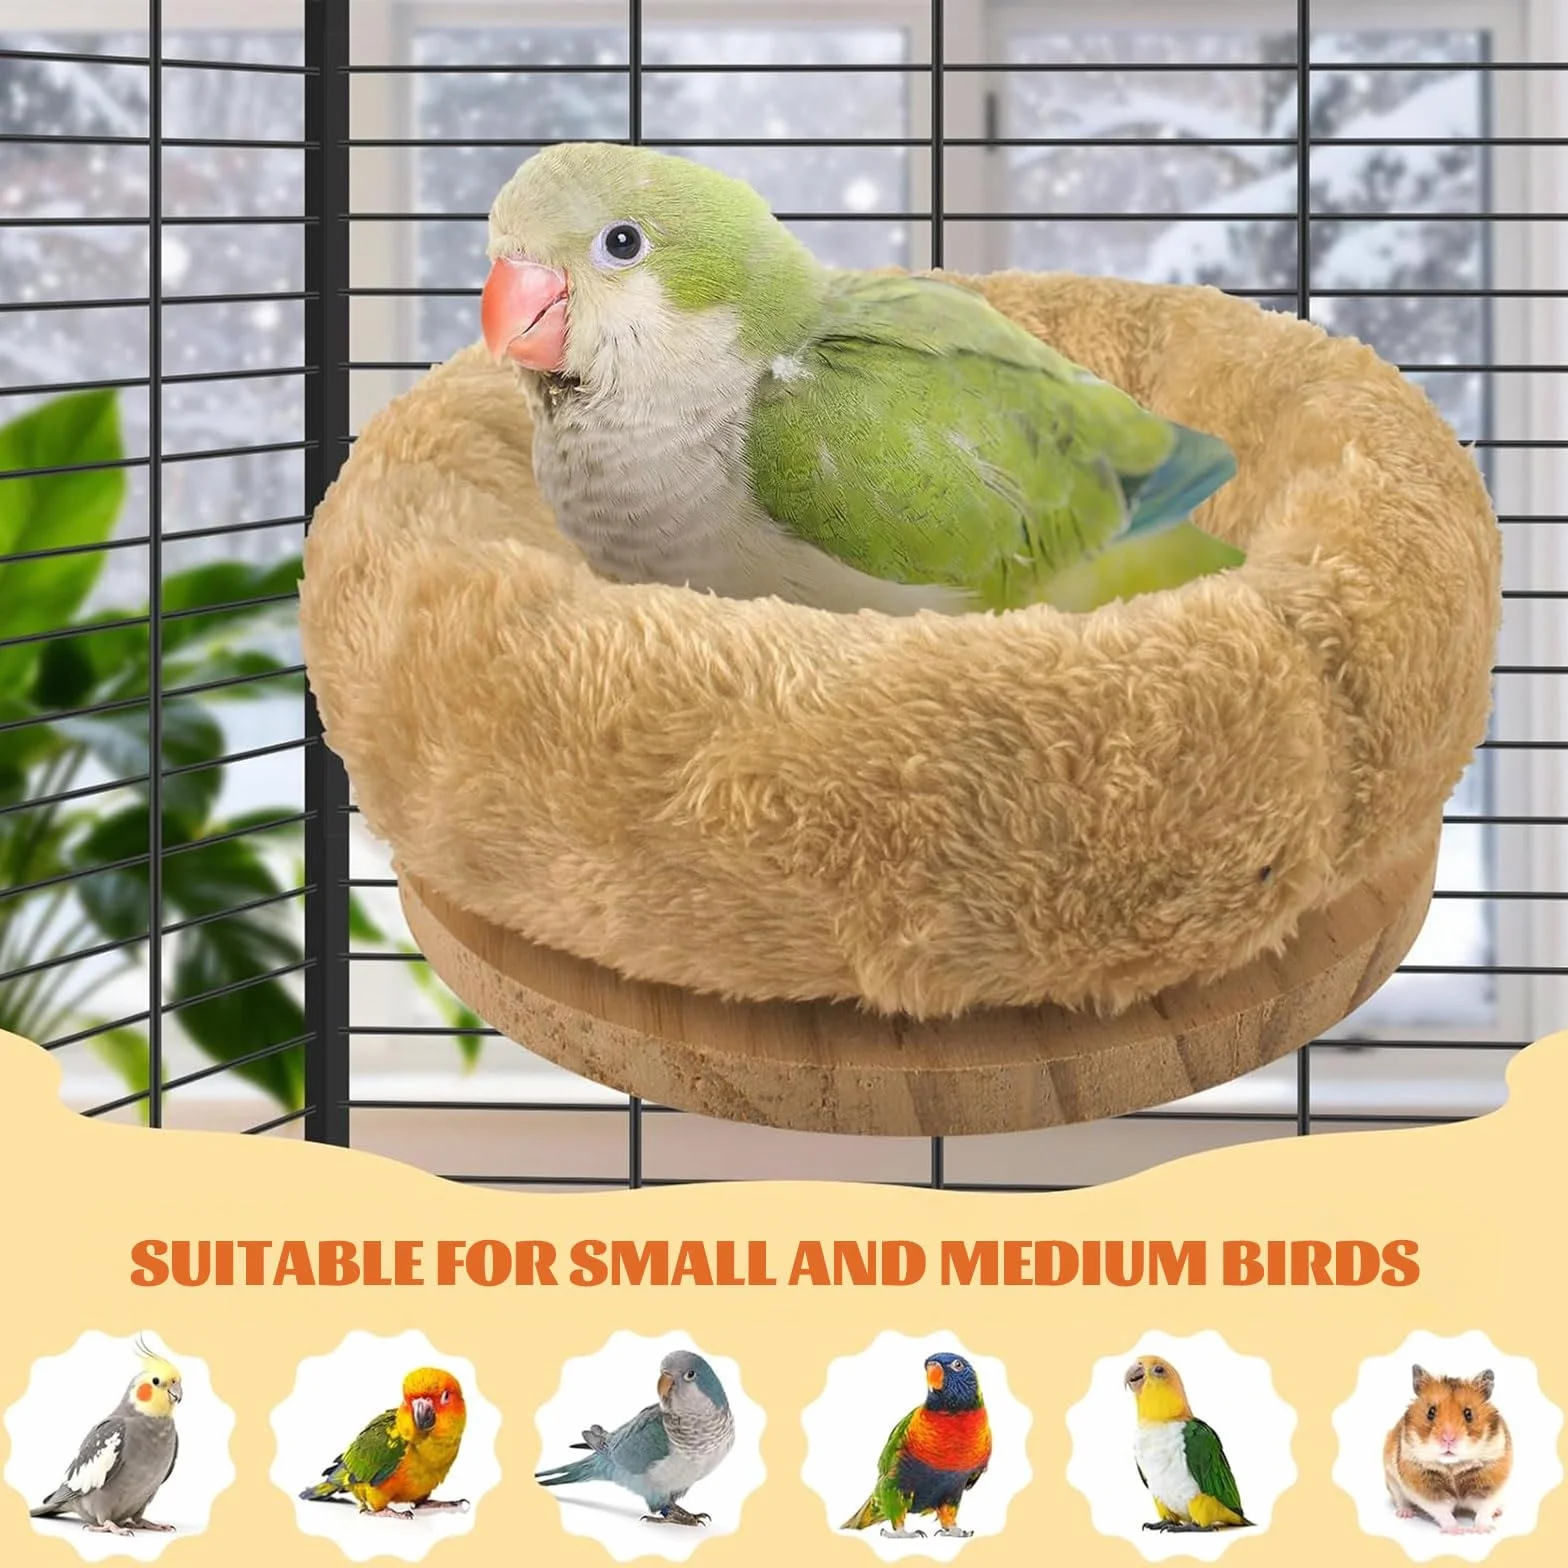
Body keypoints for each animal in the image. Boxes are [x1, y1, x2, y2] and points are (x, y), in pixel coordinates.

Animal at [1384, 1364, 1512, 1534]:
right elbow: (1443, 1512)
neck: (1453, 1465)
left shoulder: (1492, 1477)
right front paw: (1457, 1531)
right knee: (1400, 1499)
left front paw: (1483, 1530)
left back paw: (1498, 1512)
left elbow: (1484, 1509)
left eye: (1468, 1413)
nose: (1448, 1438)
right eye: (1431, 1412)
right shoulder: (1425, 1485)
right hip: (1391, 1480)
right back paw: (1405, 1513)